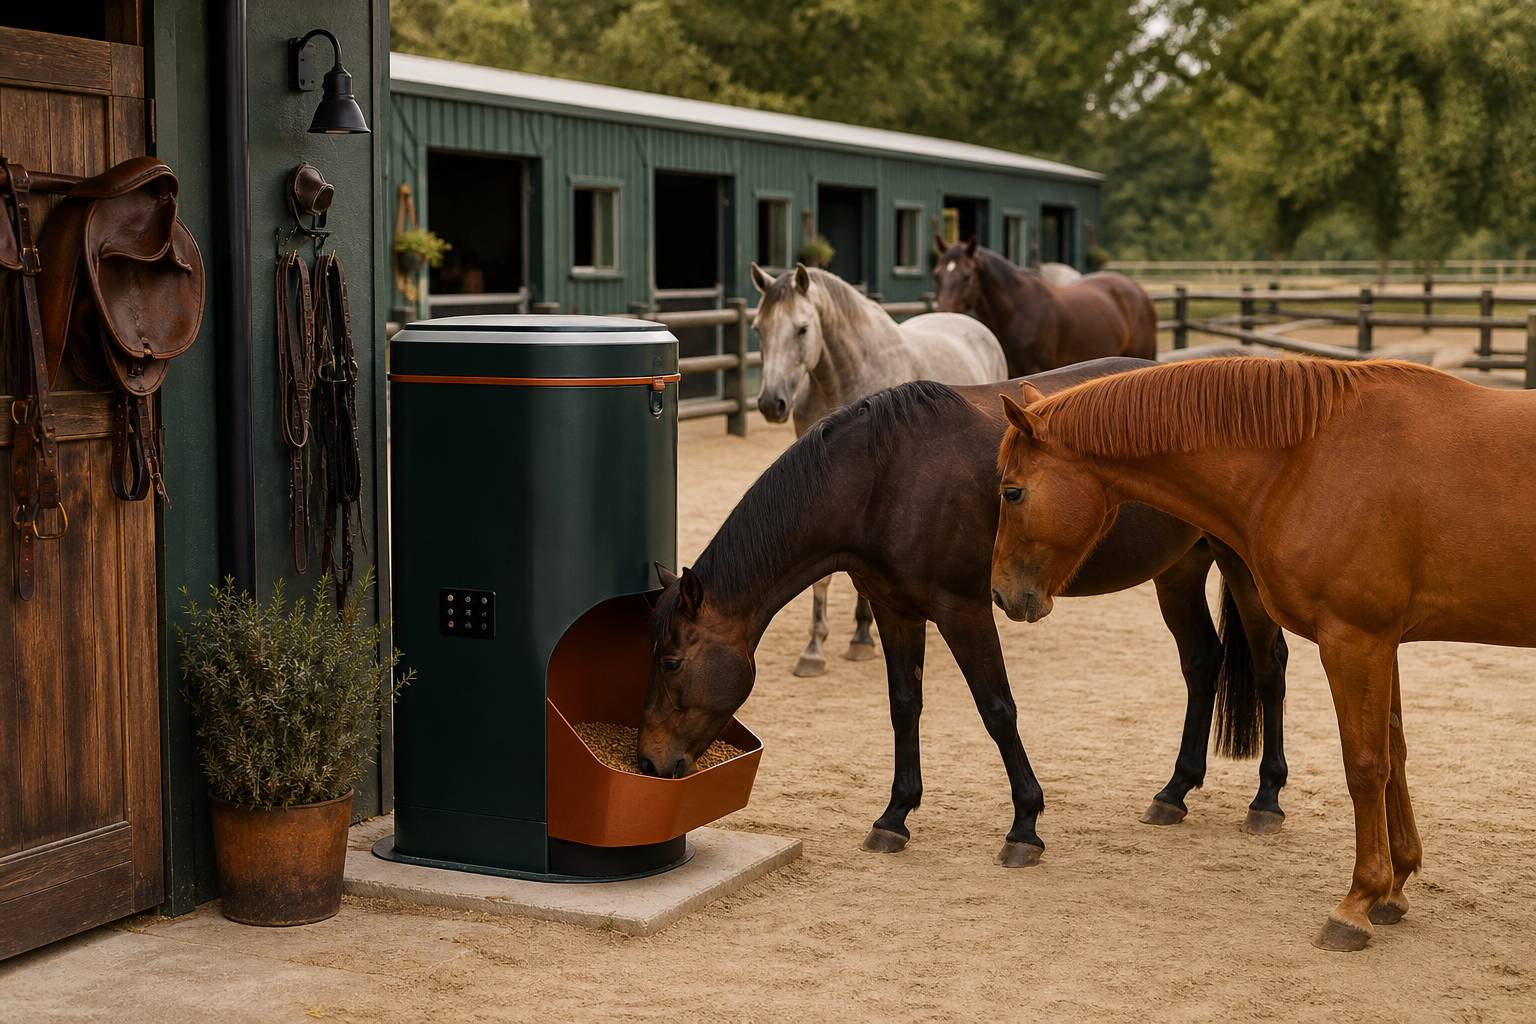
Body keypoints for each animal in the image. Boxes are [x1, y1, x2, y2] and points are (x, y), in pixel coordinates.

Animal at [639, 357, 1292, 869]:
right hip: (1177, 572)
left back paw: (1266, 799)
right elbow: (904, 708)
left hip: (1241, 570)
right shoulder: (895, 611)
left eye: (670, 662)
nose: (648, 760)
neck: (882, 478)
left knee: (1270, 665)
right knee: (1202, 662)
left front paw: (1025, 824)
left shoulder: (966, 609)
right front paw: (894, 816)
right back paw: (1175, 791)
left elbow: (996, 708)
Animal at [749, 261, 1007, 678]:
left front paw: (861, 636)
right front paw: (814, 648)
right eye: (758, 328)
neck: (846, 377)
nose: (771, 403)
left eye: (802, 329)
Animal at [990, 357, 1536, 950]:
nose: (1000, 593)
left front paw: (1358, 901)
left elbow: (1365, 765)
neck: (1309, 458)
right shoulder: (1383, 640)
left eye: (1012, 493)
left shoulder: (1355, 640)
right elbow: (1395, 754)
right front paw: (1394, 888)